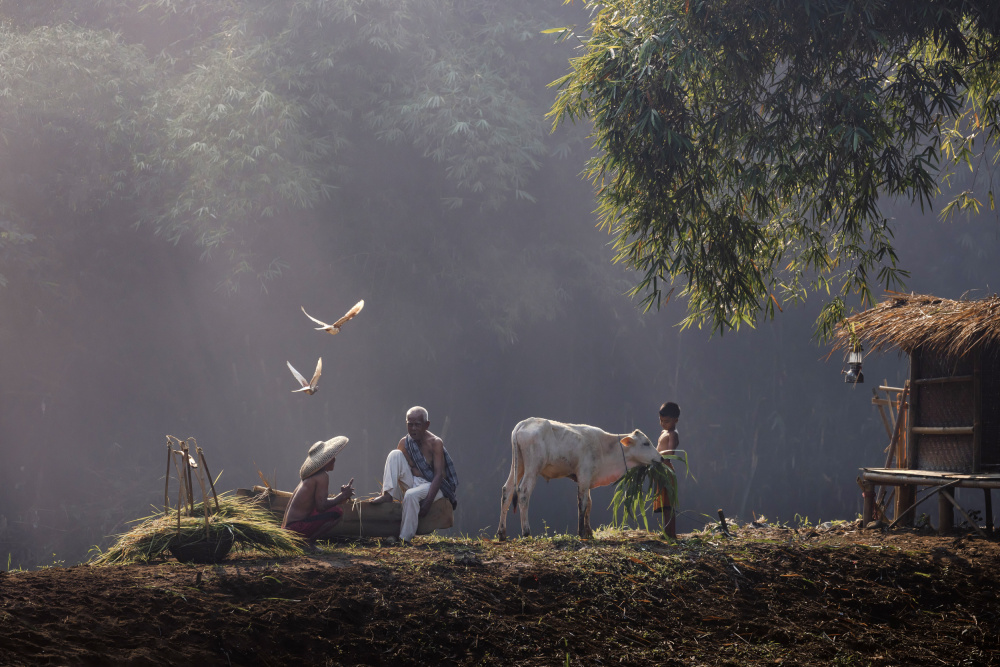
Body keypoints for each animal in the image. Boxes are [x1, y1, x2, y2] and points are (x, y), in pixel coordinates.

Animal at [494, 418, 664, 544]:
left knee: (507, 491)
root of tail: (525, 422)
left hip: (519, 465)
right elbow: (582, 504)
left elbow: (589, 504)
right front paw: (581, 532)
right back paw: (526, 532)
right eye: (646, 443)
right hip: (533, 467)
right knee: (523, 492)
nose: (661, 458)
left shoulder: (587, 479)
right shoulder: (583, 476)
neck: (605, 448)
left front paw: (589, 532)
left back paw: (502, 533)